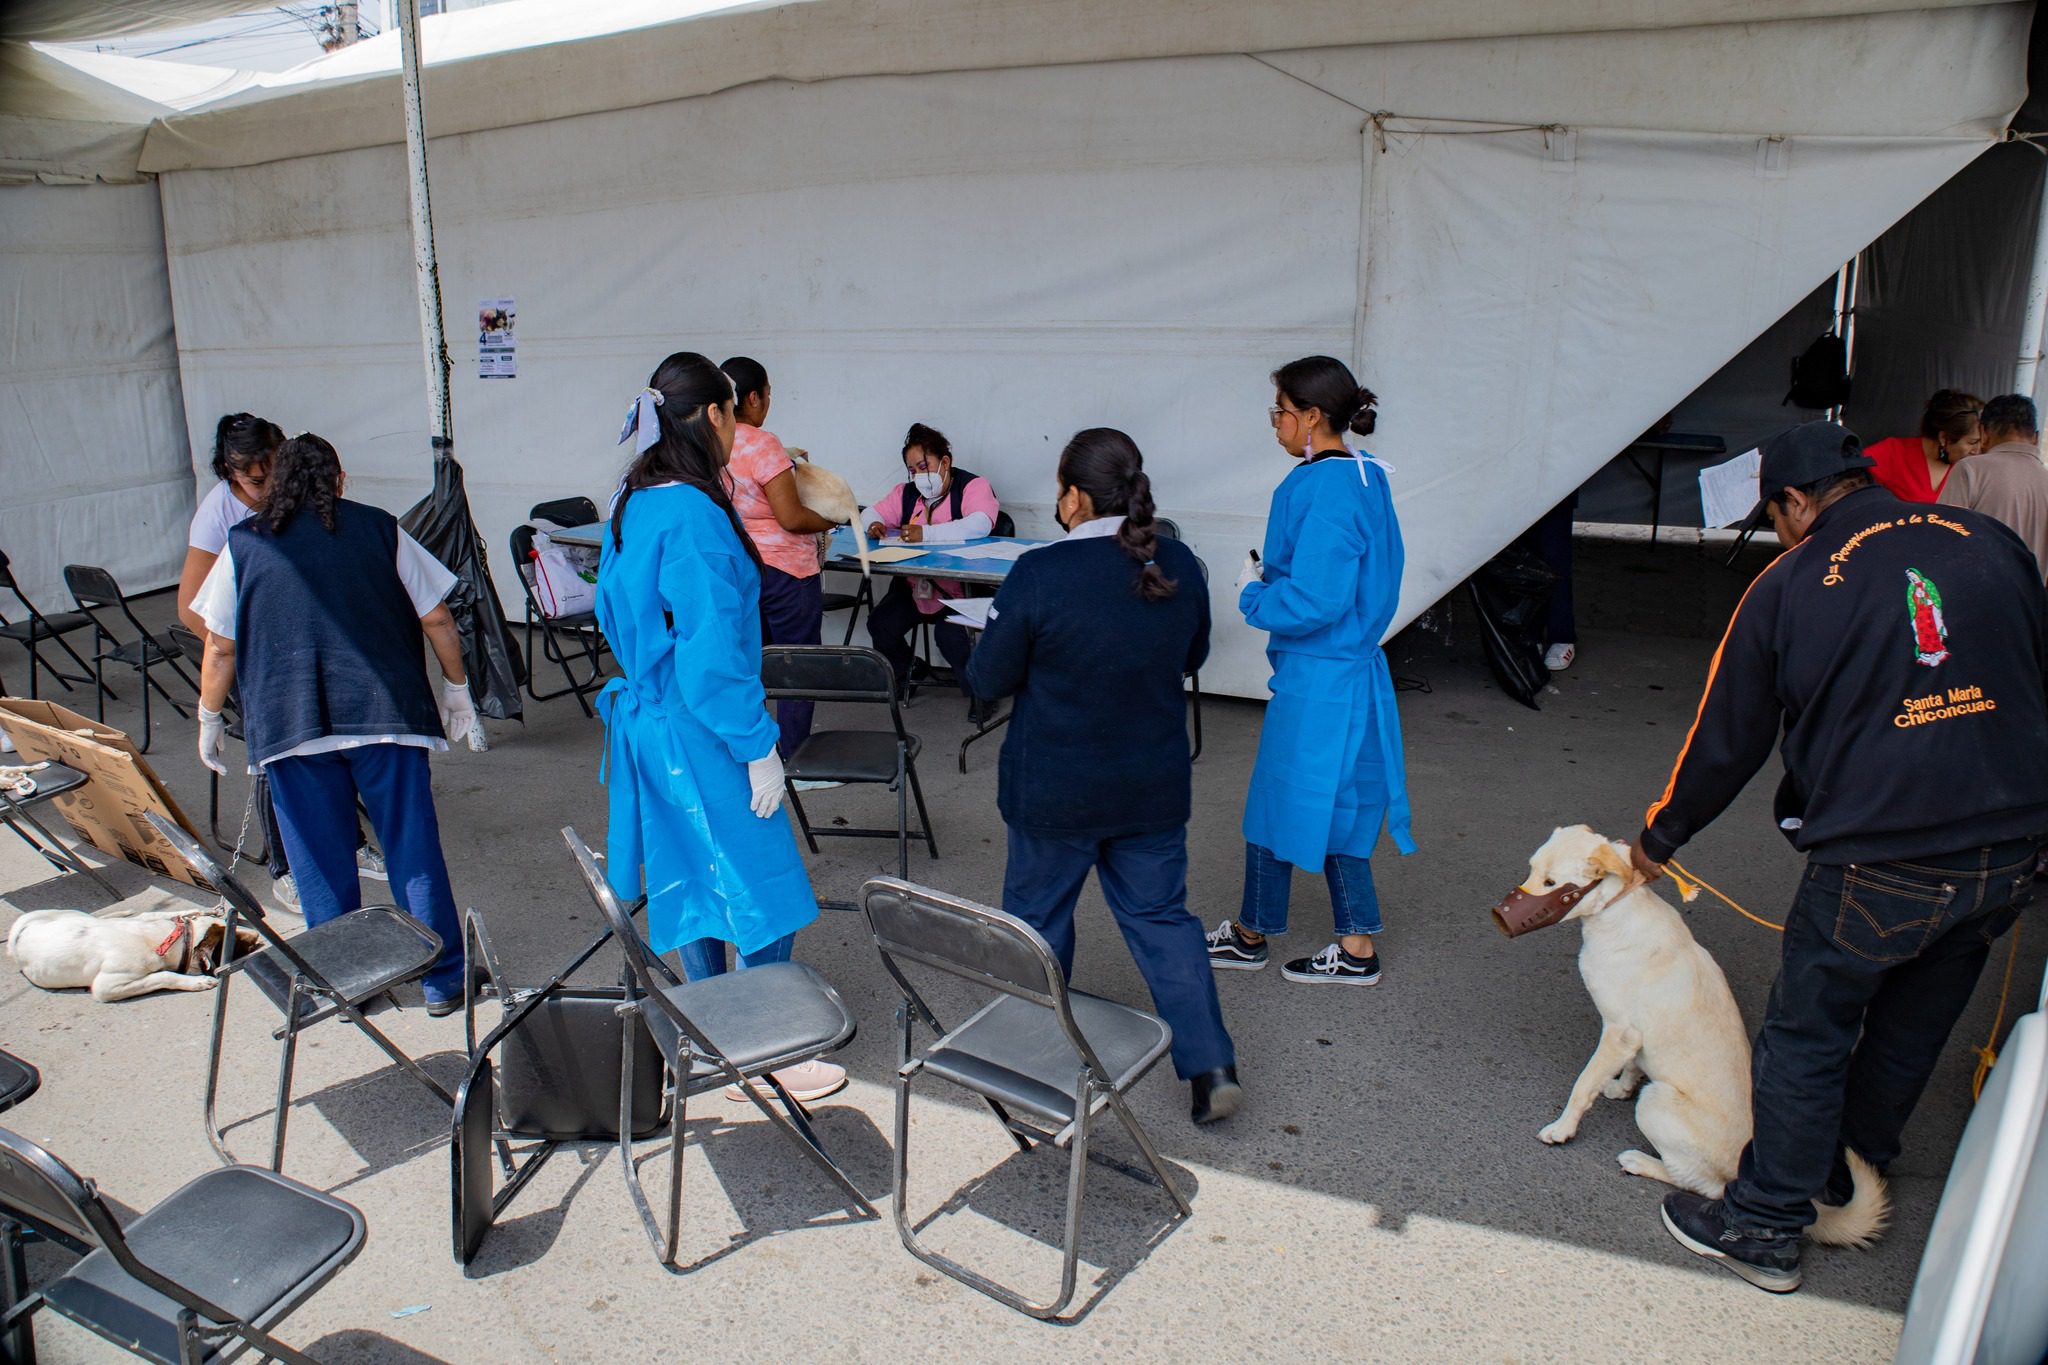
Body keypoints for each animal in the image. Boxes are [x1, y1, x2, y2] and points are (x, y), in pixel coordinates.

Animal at [6, 908, 258, 1002]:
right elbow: (164, 975)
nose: (257, 937)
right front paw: (197, 982)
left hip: (68, 913)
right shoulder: (107, 986)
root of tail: (17, 932)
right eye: (233, 944)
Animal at [1507, 822, 1884, 1252]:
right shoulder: (1633, 1038)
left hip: (1657, 1103)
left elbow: (1583, 1085)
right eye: (1532, 869)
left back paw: (1642, 1163)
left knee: (1703, 1186)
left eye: (1552, 884)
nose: (1500, 915)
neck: (1617, 908)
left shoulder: (1618, 1031)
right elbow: (1631, 1066)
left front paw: (1562, 1128)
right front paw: (1619, 1085)